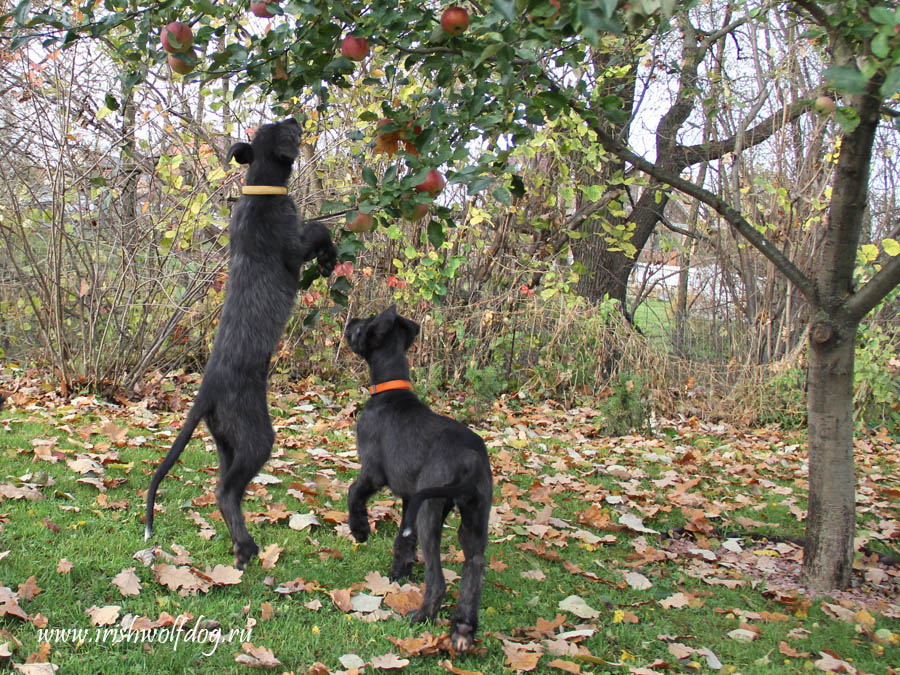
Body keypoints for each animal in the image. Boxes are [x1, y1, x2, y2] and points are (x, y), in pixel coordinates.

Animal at [148, 117, 338, 572]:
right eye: (285, 130)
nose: (295, 117)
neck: (260, 190)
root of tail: (207, 392)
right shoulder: (293, 247)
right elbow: (318, 230)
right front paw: (330, 255)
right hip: (255, 438)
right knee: (225, 492)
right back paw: (247, 547)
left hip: (225, 441)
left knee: (223, 484)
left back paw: (240, 544)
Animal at [344, 308, 492, 656]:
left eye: (362, 326)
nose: (350, 321)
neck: (390, 389)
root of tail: (471, 458)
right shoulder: (411, 496)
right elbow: (403, 539)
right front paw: (399, 572)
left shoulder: (374, 471)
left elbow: (354, 492)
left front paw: (360, 529)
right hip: (473, 514)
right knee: (475, 566)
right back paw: (463, 629)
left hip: (431, 511)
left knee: (438, 580)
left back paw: (422, 616)